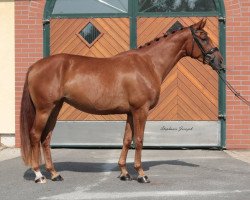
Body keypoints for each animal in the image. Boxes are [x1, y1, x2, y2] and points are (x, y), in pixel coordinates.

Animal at [19, 19, 223, 184]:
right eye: (204, 37)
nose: (220, 62)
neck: (148, 63)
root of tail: (35, 66)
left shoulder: (130, 112)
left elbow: (126, 139)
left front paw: (124, 172)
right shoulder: (141, 110)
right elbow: (139, 139)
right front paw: (141, 174)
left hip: (55, 108)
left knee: (46, 138)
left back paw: (54, 174)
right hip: (44, 109)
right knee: (35, 136)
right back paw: (39, 175)